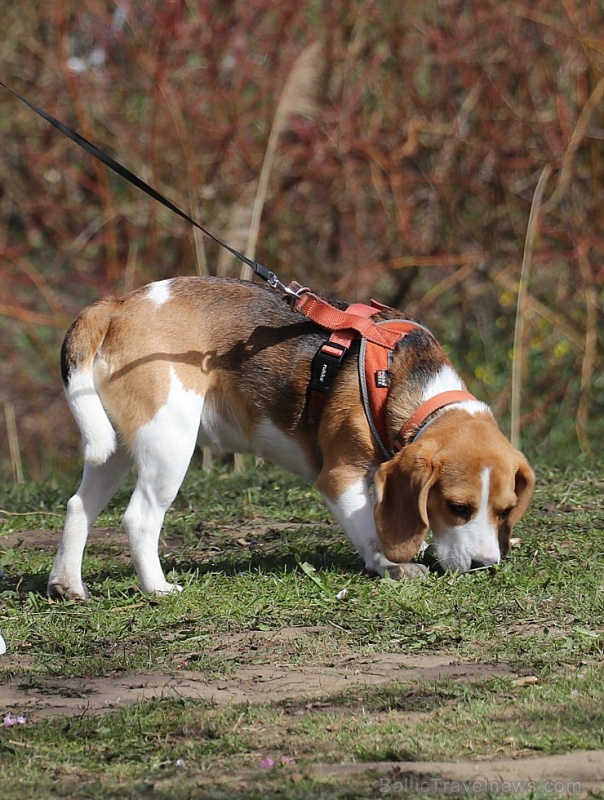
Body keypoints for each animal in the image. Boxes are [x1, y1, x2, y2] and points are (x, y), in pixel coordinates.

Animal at [49, 274, 536, 592]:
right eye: (457, 508)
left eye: (505, 511)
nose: (484, 566)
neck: (405, 384)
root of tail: (120, 303)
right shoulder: (340, 477)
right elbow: (369, 527)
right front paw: (388, 565)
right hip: (168, 442)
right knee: (140, 518)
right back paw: (158, 589)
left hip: (116, 448)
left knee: (78, 506)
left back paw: (67, 585)